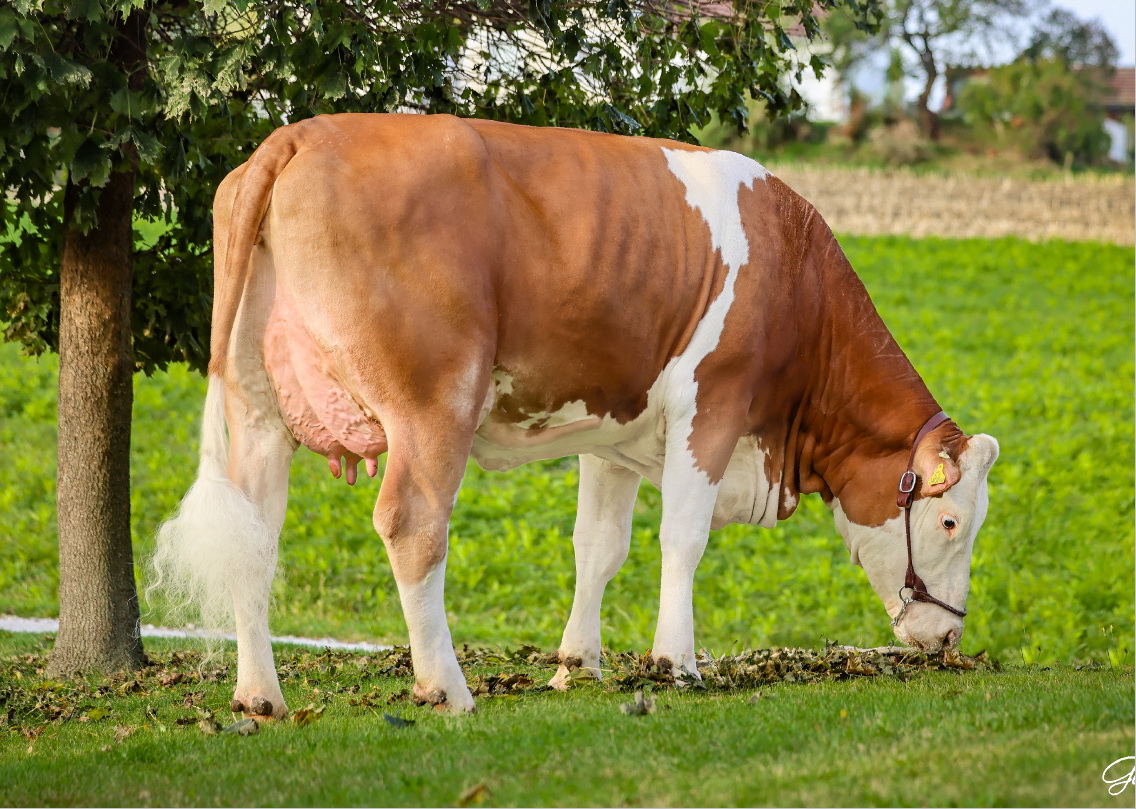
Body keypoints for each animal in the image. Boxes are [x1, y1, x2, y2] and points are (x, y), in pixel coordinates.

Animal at [153, 110, 995, 718]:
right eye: (952, 520)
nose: (951, 634)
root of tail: (303, 132)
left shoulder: (613, 434)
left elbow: (598, 547)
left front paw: (576, 665)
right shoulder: (712, 407)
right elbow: (682, 539)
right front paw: (677, 663)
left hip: (258, 409)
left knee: (252, 535)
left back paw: (259, 694)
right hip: (434, 402)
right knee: (413, 524)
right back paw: (447, 688)